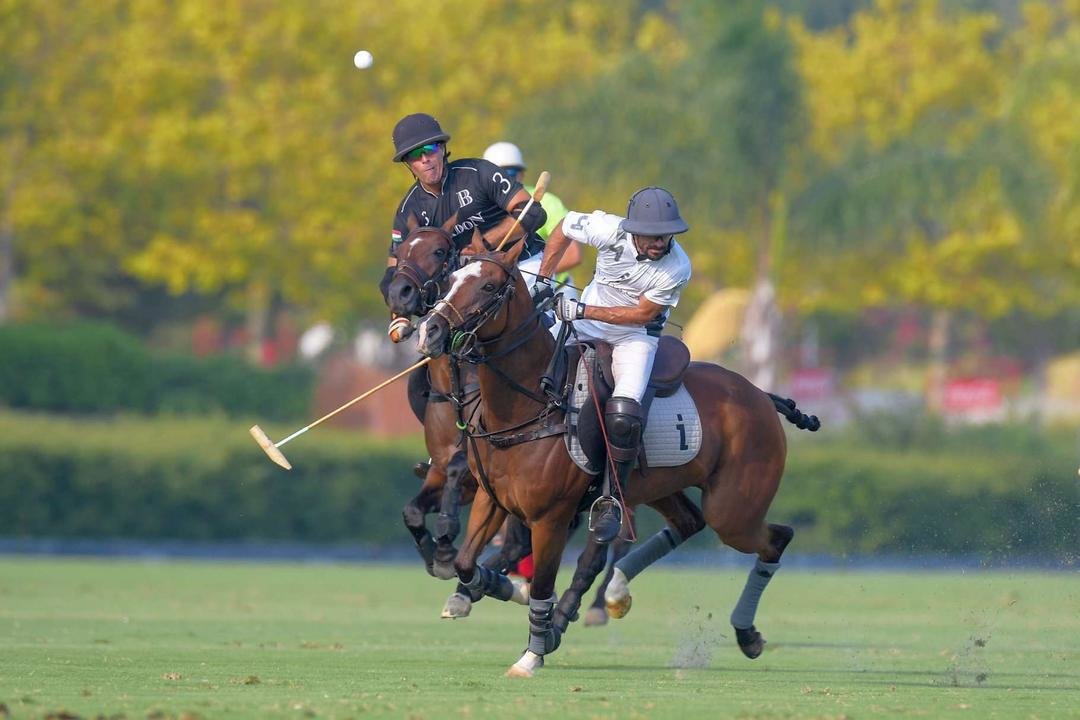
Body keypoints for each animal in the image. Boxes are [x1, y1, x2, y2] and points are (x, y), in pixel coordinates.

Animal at [414, 240, 816, 677]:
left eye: (489, 286)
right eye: (451, 279)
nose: (429, 331)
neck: (528, 405)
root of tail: (762, 395)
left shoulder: (551, 518)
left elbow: (542, 584)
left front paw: (530, 656)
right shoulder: (491, 500)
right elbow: (467, 564)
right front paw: (500, 589)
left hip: (734, 509)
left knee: (775, 538)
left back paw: (746, 633)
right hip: (658, 486)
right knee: (689, 522)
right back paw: (616, 592)